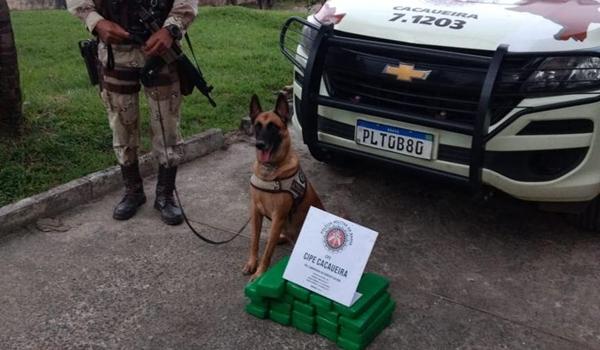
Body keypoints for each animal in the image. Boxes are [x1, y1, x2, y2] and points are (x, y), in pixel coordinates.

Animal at [241, 93, 324, 282]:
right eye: (257, 126)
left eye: (273, 127)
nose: (260, 144)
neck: (270, 170)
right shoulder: (256, 212)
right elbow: (254, 242)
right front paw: (252, 263)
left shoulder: (278, 217)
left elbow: (267, 252)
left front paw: (260, 273)